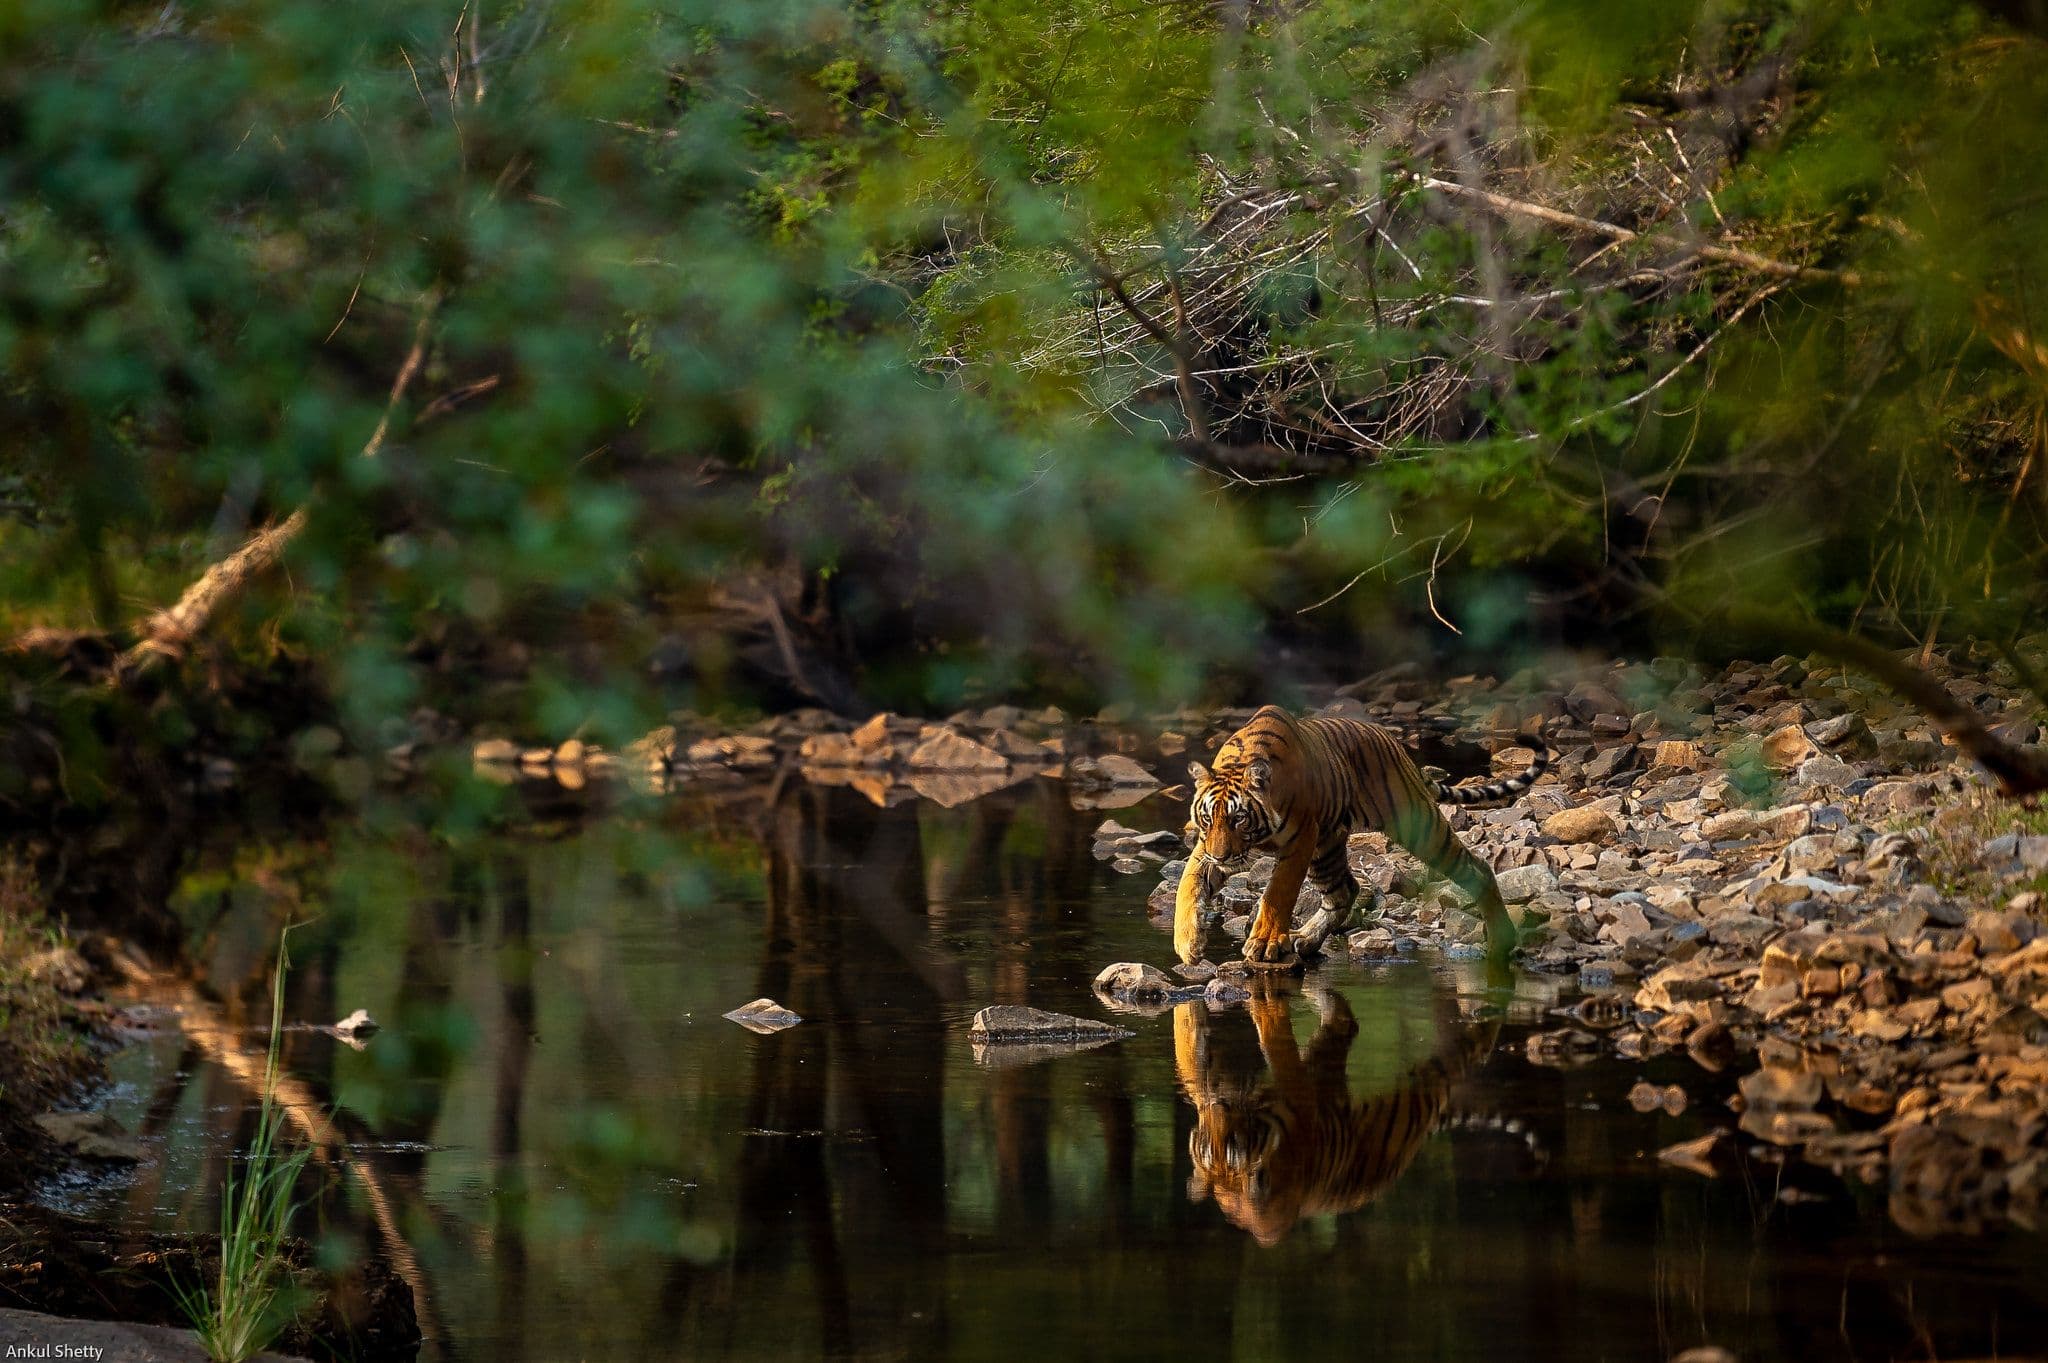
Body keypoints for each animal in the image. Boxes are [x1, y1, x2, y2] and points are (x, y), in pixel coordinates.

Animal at [1175, 704, 1548, 965]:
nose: (1221, 857)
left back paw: (1501, 940)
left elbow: (1276, 894)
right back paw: (1306, 939)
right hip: (1327, 847)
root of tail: (1394, 743)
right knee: (1344, 890)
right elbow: (1187, 887)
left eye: (1238, 819)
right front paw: (1187, 944)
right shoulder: (1205, 847)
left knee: (1477, 868)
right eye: (1207, 819)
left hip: (1418, 826)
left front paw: (1264, 942)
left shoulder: (1299, 840)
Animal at [1176, 983, 1502, 1246]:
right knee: (1344, 1025)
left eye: (1234, 1141)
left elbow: (1274, 1042)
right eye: (1206, 1140)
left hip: (1411, 1103)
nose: (1217, 1105)